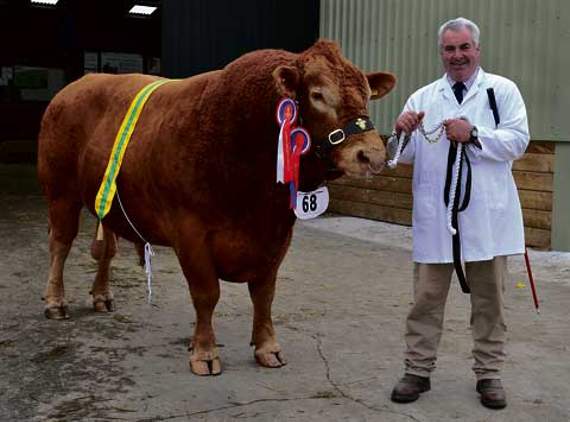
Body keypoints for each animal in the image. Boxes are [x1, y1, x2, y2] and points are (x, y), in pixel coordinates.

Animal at [36, 40, 394, 376]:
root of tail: (77, 85)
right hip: (61, 192)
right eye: (318, 94)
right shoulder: (190, 232)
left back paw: (101, 295)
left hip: (106, 201)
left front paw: (268, 347)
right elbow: (207, 294)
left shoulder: (278, 235)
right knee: (60, 244)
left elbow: (264, 294)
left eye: (366, 94)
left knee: (106, 249)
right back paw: (55, 301)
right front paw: (204, 352)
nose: (372, 154)